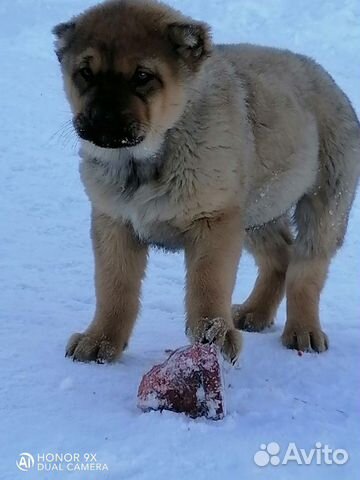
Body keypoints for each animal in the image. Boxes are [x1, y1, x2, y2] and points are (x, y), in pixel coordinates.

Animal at [53, 0, 360, 362]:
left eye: (142, 77)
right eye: (85, 73)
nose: (101, 120)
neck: (148, 159)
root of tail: (329, 81)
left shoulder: (214, 221)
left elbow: (208, 283)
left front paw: (215, 334)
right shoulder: (114, 222)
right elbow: (114, 287)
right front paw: (101, 340)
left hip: (324, 204)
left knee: (306, 269)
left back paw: (303, 330)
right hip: (258, 209)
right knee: (280, 256)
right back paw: (255, 313)